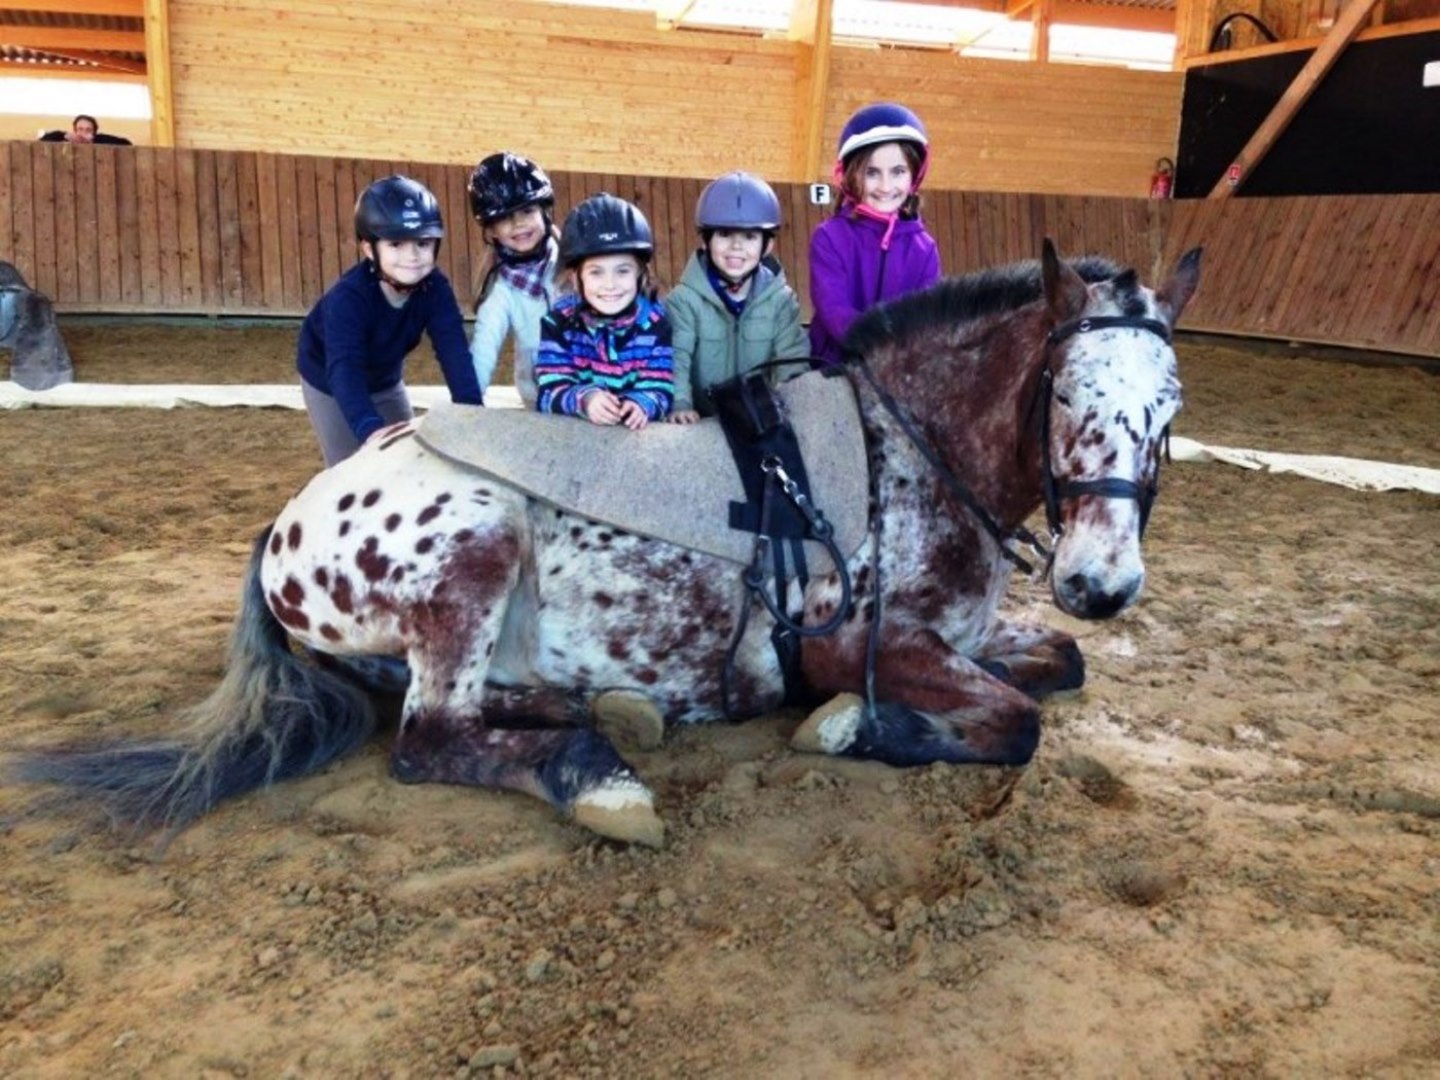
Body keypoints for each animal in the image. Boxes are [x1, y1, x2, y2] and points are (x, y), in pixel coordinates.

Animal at [10, 240, 1200, 848]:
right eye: (1065, 390)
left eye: (1173, 403)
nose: (1102, 581)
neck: (905, 448)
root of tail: (288, 524)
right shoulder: (847, 645)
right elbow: (1012, 724)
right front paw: (853, 728)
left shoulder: (973, 634)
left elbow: (1057, 666)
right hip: (476, 548)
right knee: (430, 739)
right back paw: (598, 776)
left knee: (479, 708)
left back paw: (614, 713)